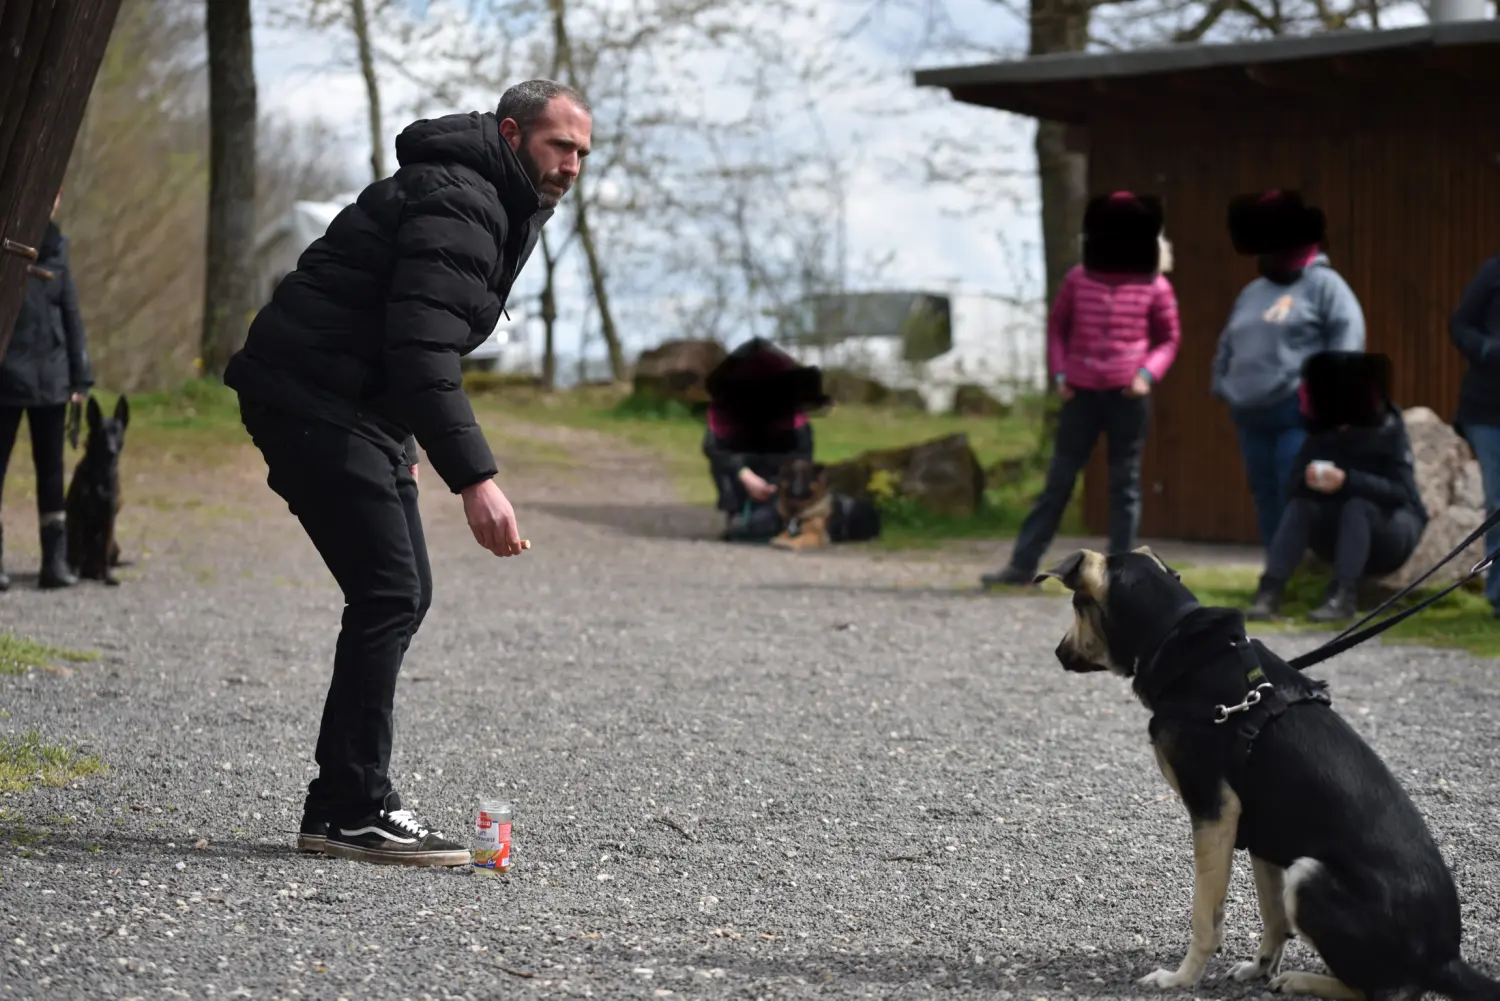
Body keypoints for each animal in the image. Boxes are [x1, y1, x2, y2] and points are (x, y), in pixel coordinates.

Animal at [66, 396, 127, 588]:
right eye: (101, 433)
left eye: (117, 432)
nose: (111, 451)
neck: (101, 472)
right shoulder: (77, 516)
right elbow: (77, 552)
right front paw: (74, 575)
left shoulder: (109, 517)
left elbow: (105, 555)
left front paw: (109, 577)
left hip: (114, 544)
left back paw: (99, 574)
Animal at [1038, 549, 1500, 1001]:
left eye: (1076, 606)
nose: (1057, 652)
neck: (1171, 634)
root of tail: (1445, 960)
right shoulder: (1261, 831)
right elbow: (1273, 915)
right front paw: (1260, 967)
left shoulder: (1214, 811)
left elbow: (1205, 917)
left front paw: (1180, 980)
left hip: (1309, 875)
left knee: (1384, 992)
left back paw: (1302, 980)